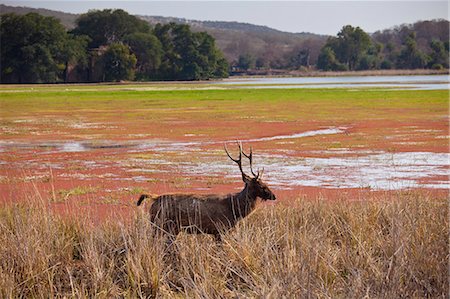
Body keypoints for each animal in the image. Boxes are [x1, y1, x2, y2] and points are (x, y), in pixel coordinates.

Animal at [137, 142, 276, 243]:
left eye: (265, 183)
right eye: (261, 185)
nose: (273, 196)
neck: (234, 209)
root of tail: (155, 198)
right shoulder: (219, 229)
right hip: (161, 224)